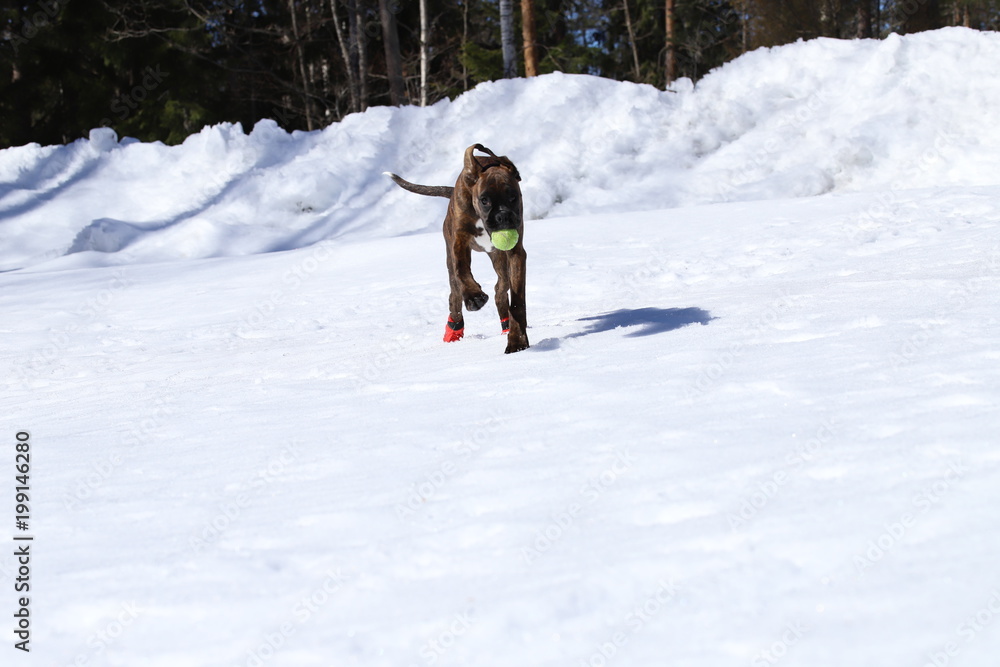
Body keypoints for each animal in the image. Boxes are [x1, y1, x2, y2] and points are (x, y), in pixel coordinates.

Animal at [388, 144, 532, 354]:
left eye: (513, 197)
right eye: (484, 200)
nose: (503, 216)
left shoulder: (516, 254)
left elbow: (518, 302)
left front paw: (517, 341)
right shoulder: (459, 242)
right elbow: (461, 270)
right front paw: (474, 297)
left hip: (499, 259)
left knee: (500, 289)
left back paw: (505, 325)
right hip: (454, 259)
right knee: (454, 294)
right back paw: (454, 330)